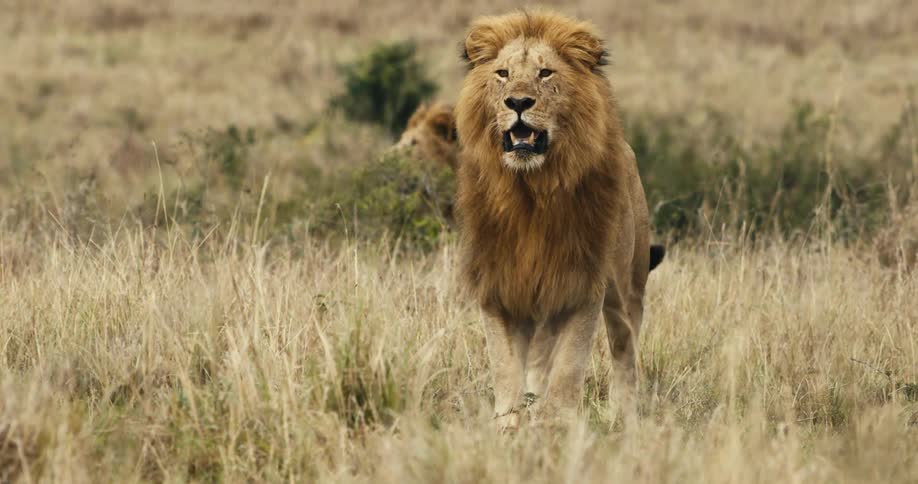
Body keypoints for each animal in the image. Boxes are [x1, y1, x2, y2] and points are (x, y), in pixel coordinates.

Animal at [455, 10, 664, 430]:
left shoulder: (581, 284)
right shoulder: (498, 285)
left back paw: (624, 419)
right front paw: (509, 425)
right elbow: (506, 366)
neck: (531, 192)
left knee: (625, 347)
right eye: (502, 74)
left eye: (545, 73)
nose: (518, 101)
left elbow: (569, 368)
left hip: (628, 287)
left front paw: (558, 427)